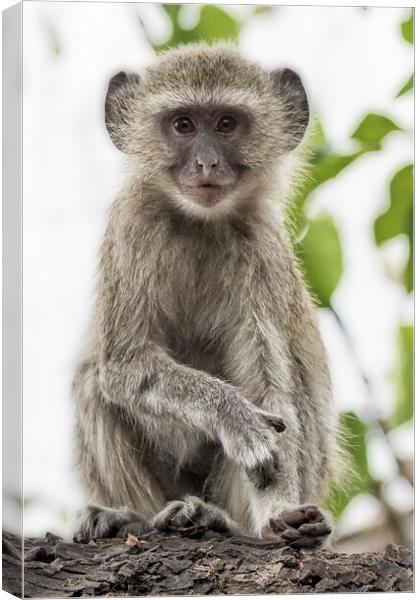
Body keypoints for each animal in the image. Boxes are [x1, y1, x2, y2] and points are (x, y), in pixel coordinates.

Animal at [74, 43, 340, 548]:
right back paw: (126, 518)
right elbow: (122, 364)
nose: (207, 164)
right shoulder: (131, 225)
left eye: (226, 124)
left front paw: (281, 511)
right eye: (183, 125)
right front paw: (232, 415)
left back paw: (221, 519)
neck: (198, 224)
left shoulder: (260, 248)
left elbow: (269, 385)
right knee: (92, 380)